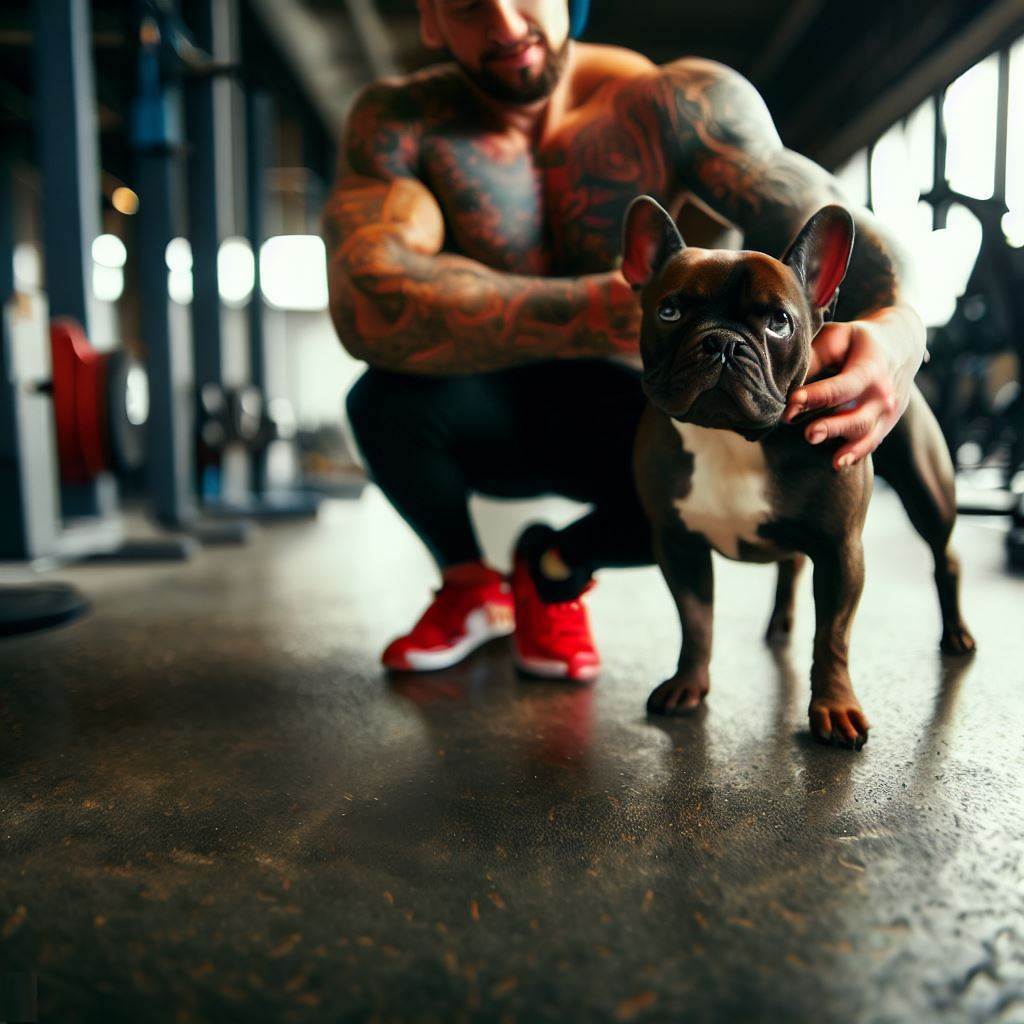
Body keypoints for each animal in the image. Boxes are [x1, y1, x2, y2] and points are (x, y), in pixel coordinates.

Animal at [618, 195, 970, 749]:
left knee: (945, 556)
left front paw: (834, 707)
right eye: (669, 311)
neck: (733, 436)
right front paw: (688, 684)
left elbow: (833, 637)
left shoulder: (840, 549)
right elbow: (695, 621)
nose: (723, 343)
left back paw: (955, 633)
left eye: (779, 323)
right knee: (790, 566)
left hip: (925, 491)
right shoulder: (677, 542)